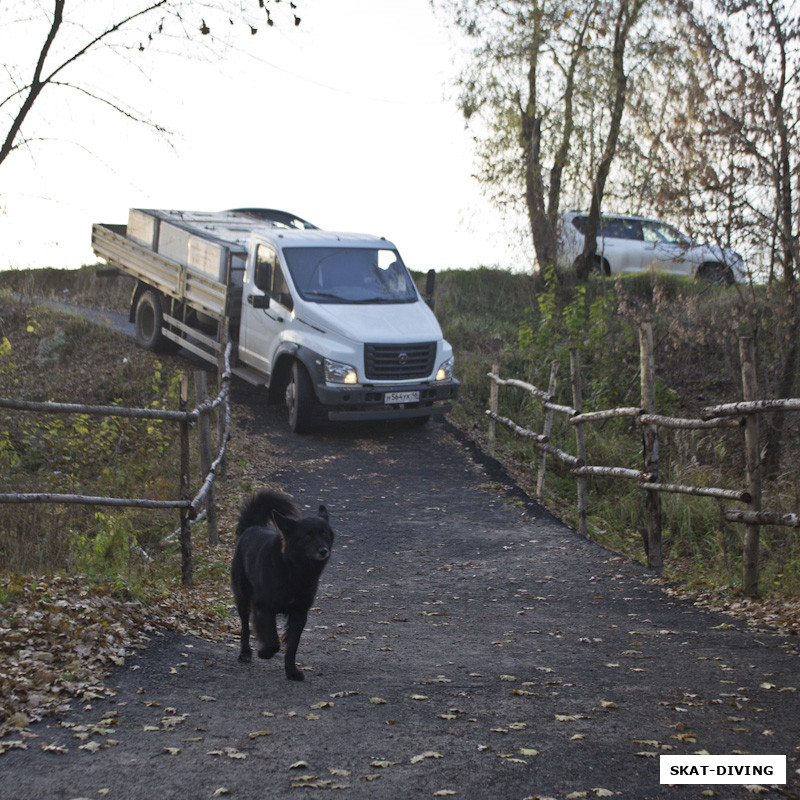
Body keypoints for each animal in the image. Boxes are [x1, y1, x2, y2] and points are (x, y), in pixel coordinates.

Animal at [231, 488, 334, 680]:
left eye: (324, 533)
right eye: (307, 536)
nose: (324, 551)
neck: (293, 570)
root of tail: (251, 528)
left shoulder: (299, 613)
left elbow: (291, 646)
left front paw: (291, 671)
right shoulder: (263, 607)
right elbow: (273, 640)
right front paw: (264, 653)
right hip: (242, 598)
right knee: (244, 626)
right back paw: (245, 653)